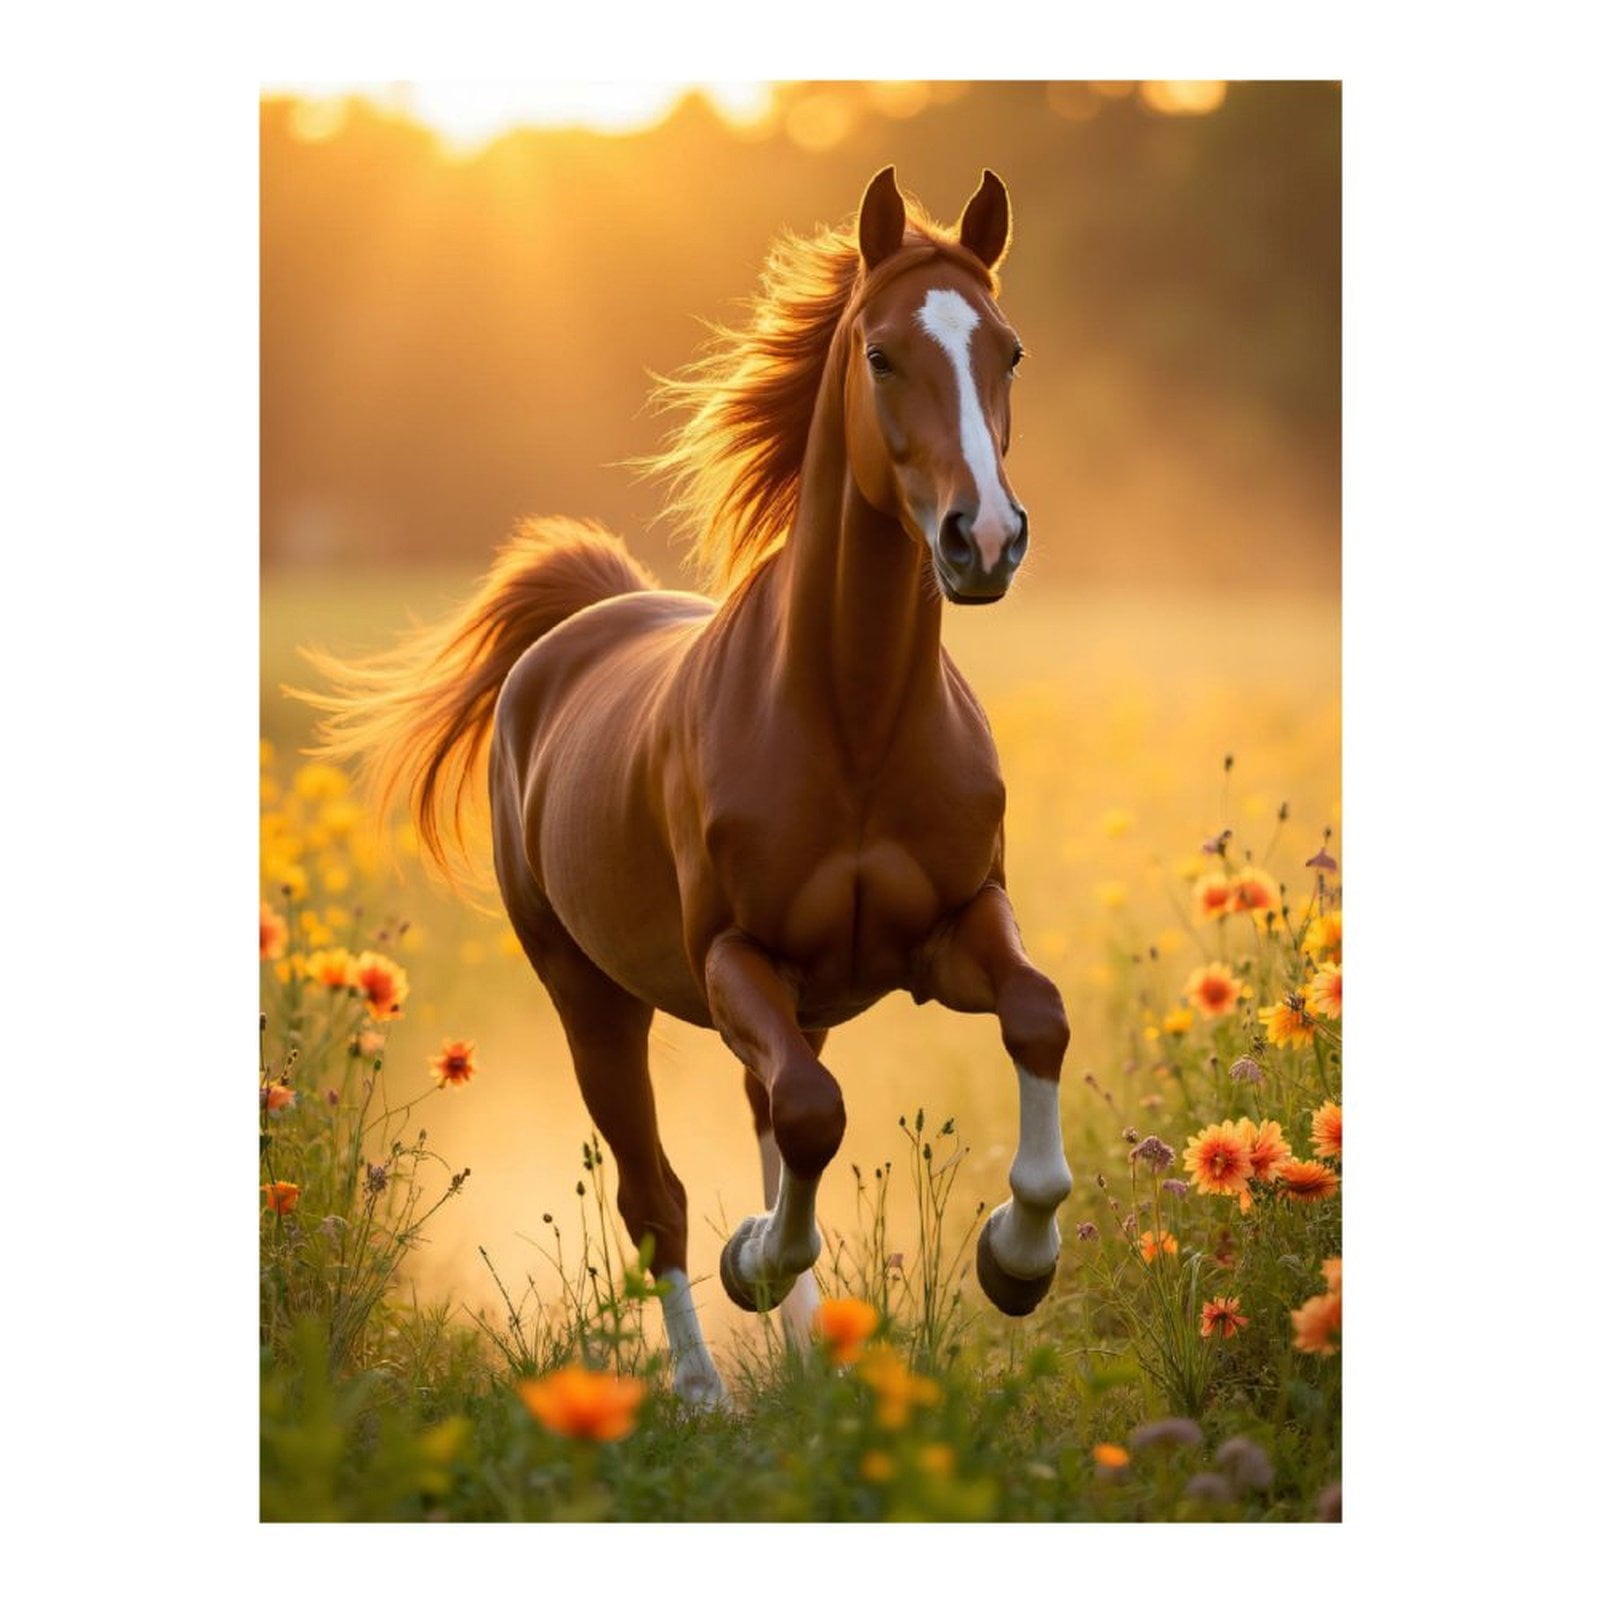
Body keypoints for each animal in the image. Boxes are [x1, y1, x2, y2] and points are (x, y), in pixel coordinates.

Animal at [300, 168, 1074, 1406]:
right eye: (880, 354)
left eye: (1008, 350)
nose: (984, 538)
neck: (852, 720)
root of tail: (584, 619)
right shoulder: (732, 960)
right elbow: (808, 1117)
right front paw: (753, 1258)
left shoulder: (953, 928)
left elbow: (1034, 1019)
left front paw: (1016, 1257)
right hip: (591, 999)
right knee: (657, 1192)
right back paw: (705, 1391)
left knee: (768, 1124)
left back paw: (811, 1358)